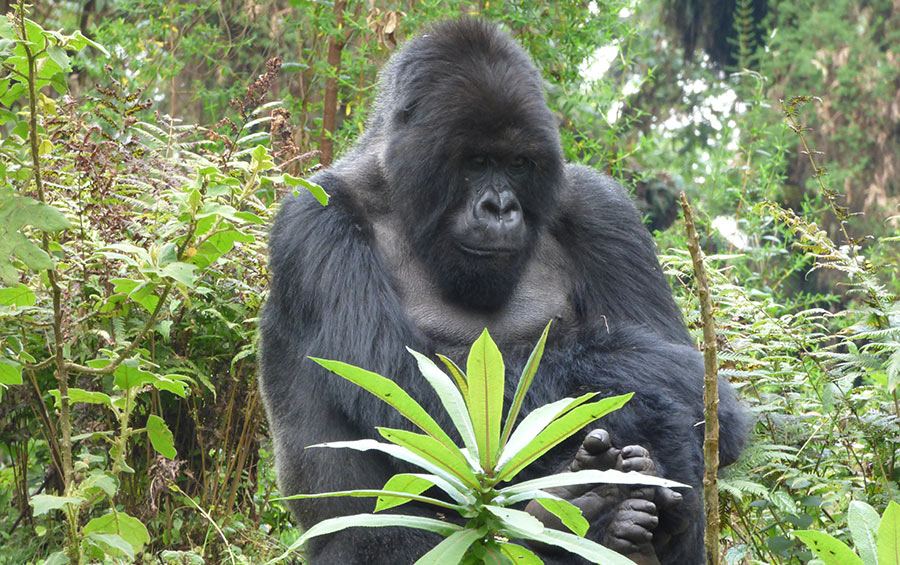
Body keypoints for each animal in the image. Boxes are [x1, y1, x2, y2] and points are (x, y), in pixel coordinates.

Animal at [258, 17, 744, 564]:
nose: (499, 208)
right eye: (475, 161)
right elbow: (415, 393)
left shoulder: (602, 207)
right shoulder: (316, 217)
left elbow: (693, 382)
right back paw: (576, 512)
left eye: (517, 164)